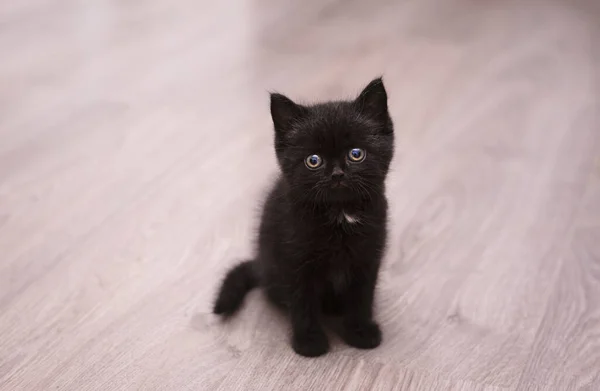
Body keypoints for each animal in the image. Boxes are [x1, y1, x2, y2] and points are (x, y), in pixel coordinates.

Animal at [214, 77, 394, 358]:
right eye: (313, 160)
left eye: (356, 154)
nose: (337, 174)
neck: (340, 215)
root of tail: (260, 264)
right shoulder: (295, 260)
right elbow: (302, 302)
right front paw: (309, 341)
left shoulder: (368, 255)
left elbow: (362, 297)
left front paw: (360, 331)